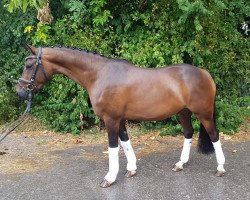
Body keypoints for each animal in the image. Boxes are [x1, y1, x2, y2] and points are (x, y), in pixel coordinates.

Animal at [16, 45, 227, 188]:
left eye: (29, 65)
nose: (19, 92)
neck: (99, 74)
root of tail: (205, 73)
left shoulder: (111, 119)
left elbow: (112, 147)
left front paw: (109, 178)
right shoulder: (120, 120)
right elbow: (125, 142)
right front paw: (131, 169)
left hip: (204, 113)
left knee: (214, 135)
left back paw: (220, 168)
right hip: (183, 112)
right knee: (188, 133)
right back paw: (180, 164)